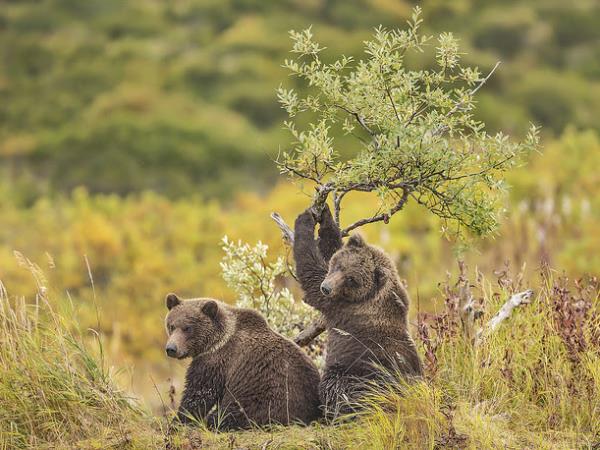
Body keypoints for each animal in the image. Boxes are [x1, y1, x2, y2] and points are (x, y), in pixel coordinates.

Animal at [164, 296, 322, 428]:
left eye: (187, 328)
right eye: (171, 326)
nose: (171, 348)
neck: (215, 342)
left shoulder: (215, 362)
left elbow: (199, 393)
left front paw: (178, 421)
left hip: (265, 397)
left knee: (232, 414)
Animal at [292, 206, 420, 420]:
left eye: (351, 279)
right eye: (338, 265)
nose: (326, 287)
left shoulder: (341, 306)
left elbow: (310, 271)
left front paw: (304, 222)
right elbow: (330, 247)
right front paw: (325, 217)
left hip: (356, 373)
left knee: (336, 387)